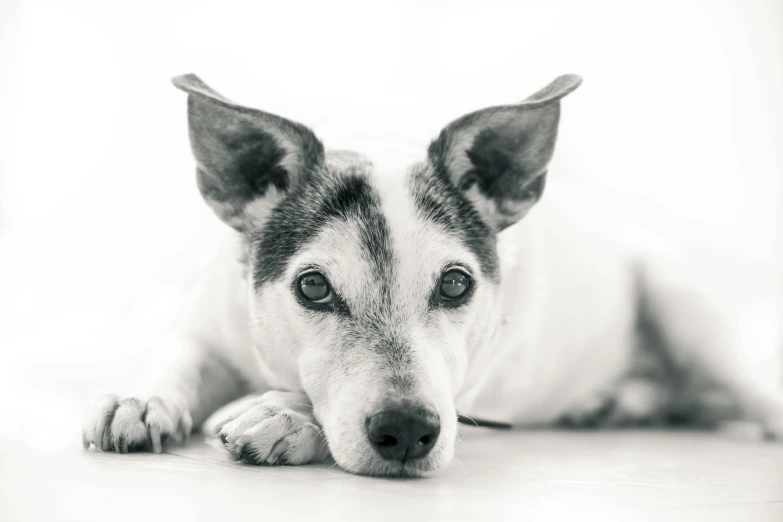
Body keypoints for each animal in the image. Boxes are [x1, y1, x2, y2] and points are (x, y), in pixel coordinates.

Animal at [81, 72, 783, 476]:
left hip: (680, 297)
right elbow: (177, 359)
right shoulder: (209, 325)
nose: (407, 432)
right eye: (313, 286)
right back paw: (610, 403)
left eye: (455, 284)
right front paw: (144, 399)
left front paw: (286, 418)